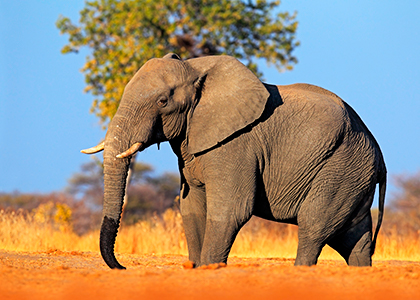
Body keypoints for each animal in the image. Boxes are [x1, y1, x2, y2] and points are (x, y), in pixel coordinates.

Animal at [82, 54, 388, 270]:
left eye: (162, 101)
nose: (123, 267)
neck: (195, 69)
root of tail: (380, 154)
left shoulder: (236, 144)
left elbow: (231, 210)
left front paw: (210, 270)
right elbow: (191, 209)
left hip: (342, 167)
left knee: (313, 227)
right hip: (354, 174)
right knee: (354, 239)